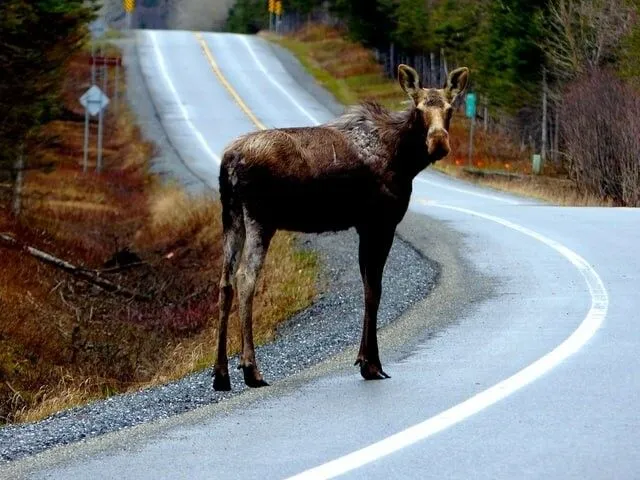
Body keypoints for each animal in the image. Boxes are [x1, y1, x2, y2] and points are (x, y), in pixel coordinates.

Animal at [212, 62, 468, 390]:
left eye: (450, 108)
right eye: (420, 108)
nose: (438, 143)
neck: (405, 159)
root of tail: (229, 161)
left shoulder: (363, 225)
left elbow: (368, 286)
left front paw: (366, 360)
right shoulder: (380, 221)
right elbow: (374, 290)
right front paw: (371, 364)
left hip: (231, 216)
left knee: (225, 282)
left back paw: (220, 373)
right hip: (260, 218)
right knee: (245, 277)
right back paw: (251, 368)